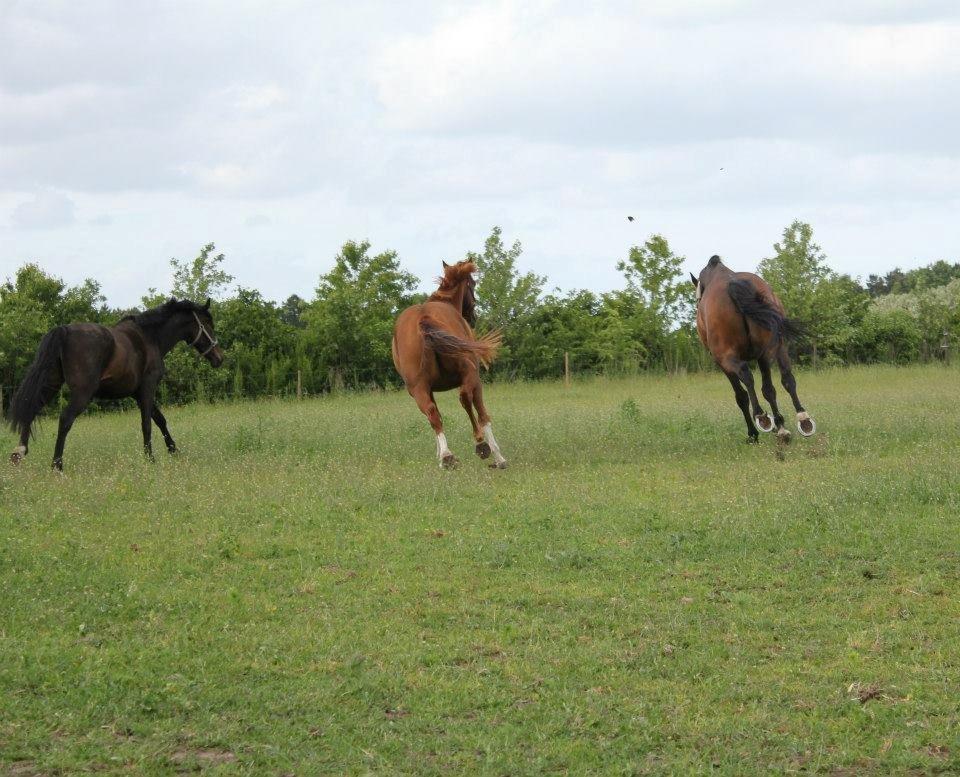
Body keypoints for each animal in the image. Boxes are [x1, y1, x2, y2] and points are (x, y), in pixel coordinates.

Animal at [6, 296, 224, 466]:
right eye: (208, 323)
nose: (219, 358)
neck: (150, 337)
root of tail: (64, 330)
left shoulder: (138, 393)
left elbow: (160, 419)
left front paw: (173, 450)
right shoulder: (148, 387)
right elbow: (147, 423)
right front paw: (150, 459)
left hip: (51, 383)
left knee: (31, 408)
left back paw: (20, 452)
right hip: (82, 393)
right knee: (65, 419)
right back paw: (57, 465)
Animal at [392, 260, 510, 466]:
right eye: (473, 284)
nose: (473, 317)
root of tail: (423, 318)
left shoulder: (428, 389)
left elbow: (436, 416)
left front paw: (440, 455)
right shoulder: (476, 381)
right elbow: (482, 413)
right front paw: (497, 456)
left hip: (417, 388)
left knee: (432, 413)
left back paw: (447, 457)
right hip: (469, 374)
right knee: (464, 399)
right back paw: (480, 445)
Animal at [688, 256, 816, 442]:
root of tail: (734, 284)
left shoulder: (721, 363)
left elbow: (741, 396)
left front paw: (753, 433)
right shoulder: (763, 355)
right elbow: (769, 389)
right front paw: (780, 426)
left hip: (727, 357)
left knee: (746, 375)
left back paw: (762, 417)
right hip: (775, 348)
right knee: (785, 379)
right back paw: (801, 420)